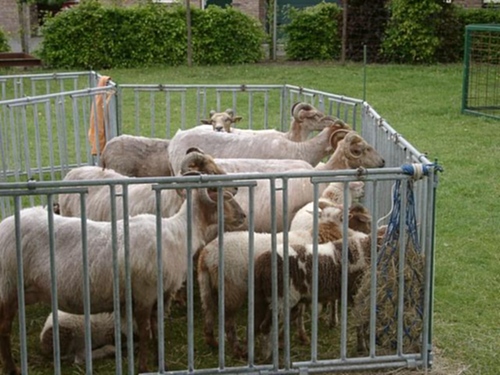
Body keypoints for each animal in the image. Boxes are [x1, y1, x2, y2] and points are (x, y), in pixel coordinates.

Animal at [0, 185, 246, 375]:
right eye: (224, 197)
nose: (243, 216)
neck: (177, 234)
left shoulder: (161, 295)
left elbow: (157, 329)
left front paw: (161, 363)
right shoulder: (144, 293)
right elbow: (145, 333)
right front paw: (144, 366)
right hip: (8, 286)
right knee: (4, 330)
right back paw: (12, 368)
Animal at [197, 203, 346, 358]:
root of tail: (207, 255)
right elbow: (297, 314)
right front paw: (295, 337)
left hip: (205, 285)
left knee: (208, 312)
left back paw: (212, 342)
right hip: (232, 287)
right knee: (228, 322)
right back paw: (238, 350)